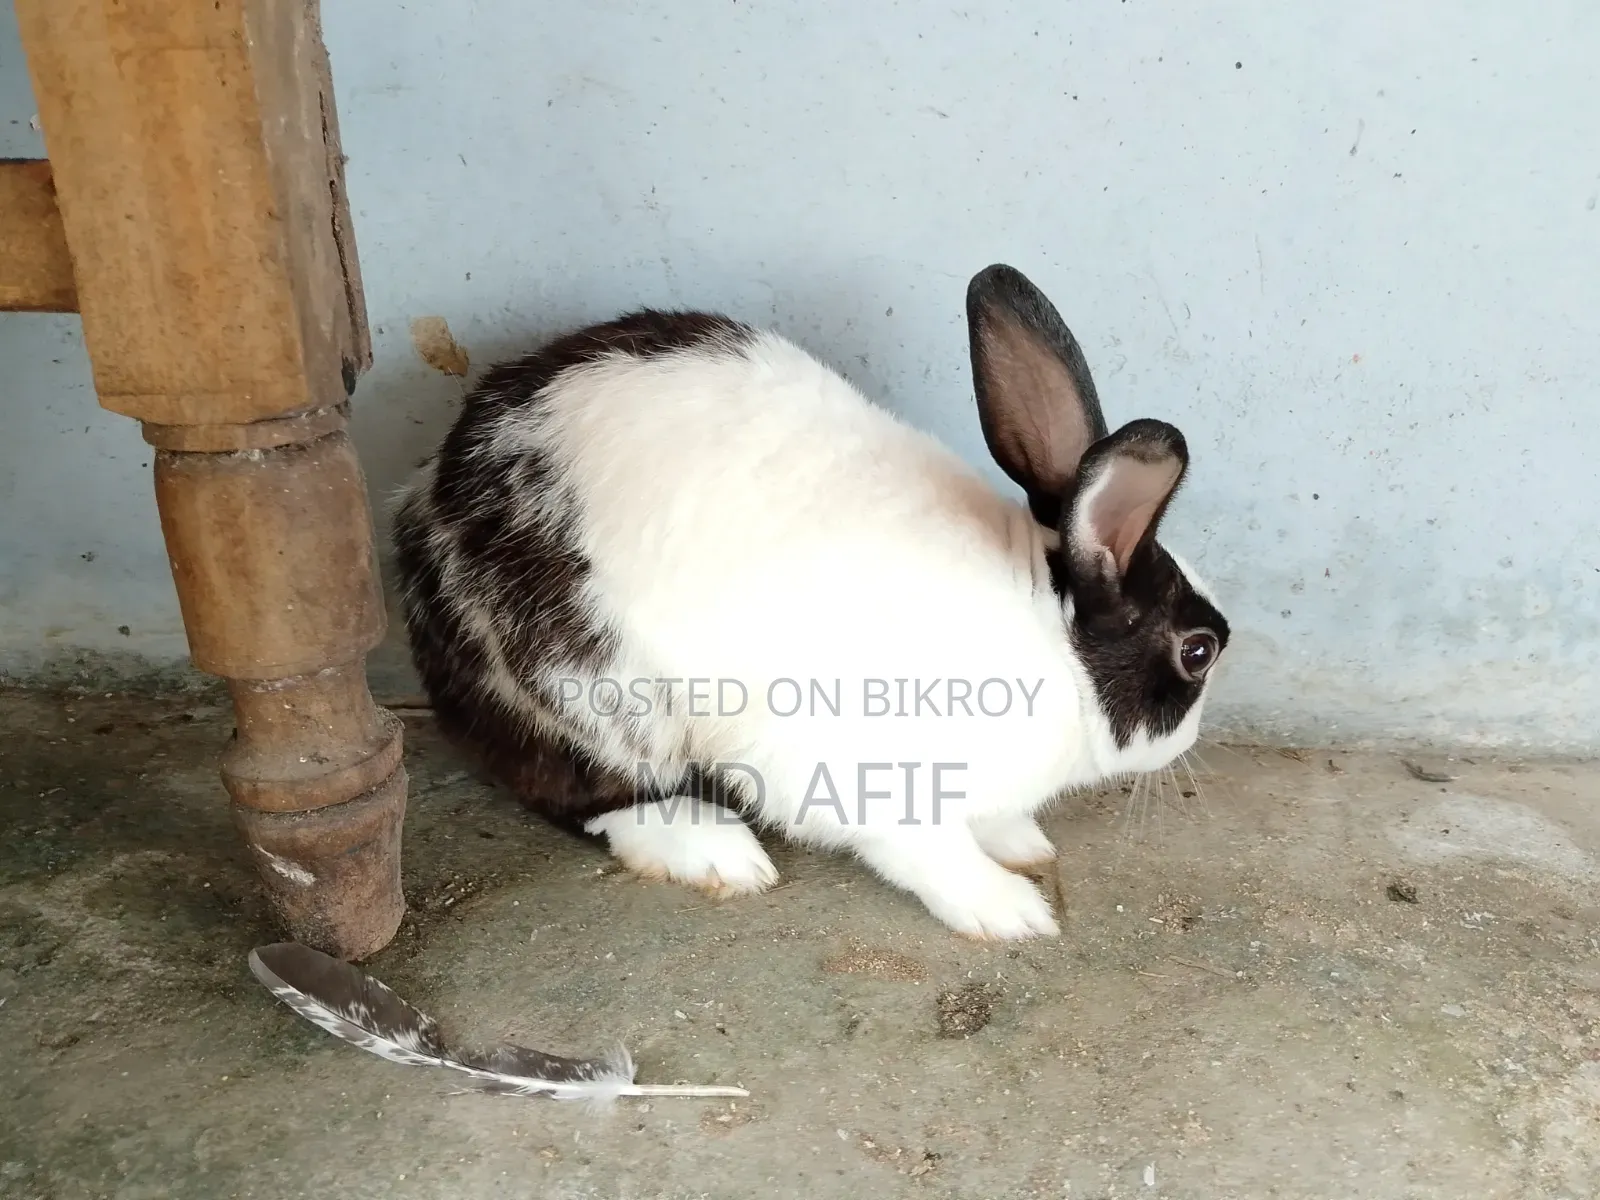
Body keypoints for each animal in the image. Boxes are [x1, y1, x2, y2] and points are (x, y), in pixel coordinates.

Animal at [390, 264, 1228, 940]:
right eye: (1198, 651)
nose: (1189, 742)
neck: (1051, 638)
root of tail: (426, 508)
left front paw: (1020, 840)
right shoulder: (874, 778)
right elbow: (931, 852)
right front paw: (1010, 912)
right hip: (599, 699)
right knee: (578, 795)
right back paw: (715, 851)